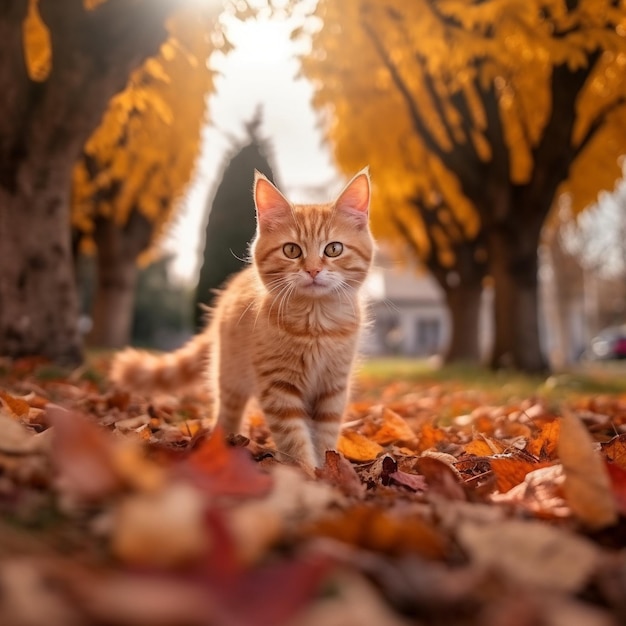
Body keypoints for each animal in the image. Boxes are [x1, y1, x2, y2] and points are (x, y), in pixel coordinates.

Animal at [109, 168, 372, 466]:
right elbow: (295, 438)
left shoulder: (333, 388)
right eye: (292, 250)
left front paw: (327, 468)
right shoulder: (278, 389)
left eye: (333, 249)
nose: (313, 270)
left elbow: (325, 434)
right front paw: (307, 471)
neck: (314, 324)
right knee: (226, 414)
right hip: (230, 378)